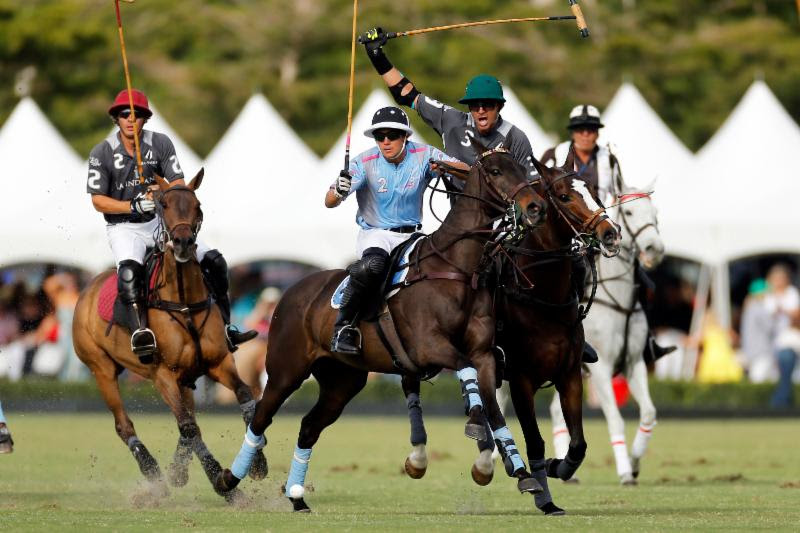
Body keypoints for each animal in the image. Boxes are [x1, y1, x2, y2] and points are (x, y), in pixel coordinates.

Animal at [72, 170, 266, 501]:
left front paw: (257, 463)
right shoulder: (163, 374)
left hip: (185, 377)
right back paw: (155, 474)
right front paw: (222, 481)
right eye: (163, 204)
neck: (184, 302)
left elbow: (243, 396)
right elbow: (188, 427)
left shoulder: (217, 363)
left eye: (197, 205)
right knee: (125, 425)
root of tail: (86, 290)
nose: (183, 242)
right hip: (101, 369)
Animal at [214, 140, 549, 512]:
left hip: (342, 380)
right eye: (495, 171)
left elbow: (495, 409)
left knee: (309, 426)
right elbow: (466, 373)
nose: (536, 208)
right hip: (287, 369)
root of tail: (290, 291)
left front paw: (518, 473)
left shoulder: (484, 354)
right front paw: (476, 429)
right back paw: (228, 480)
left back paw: (297, 496)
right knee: (261, 417)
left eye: (521, 167)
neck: (457, 269)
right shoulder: (429, 346)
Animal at [399, 152, 621, 515]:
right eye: (564, 196)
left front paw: (559, 467)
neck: (544, 296)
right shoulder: (522, 380)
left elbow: (578, 443)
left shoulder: (569, 374)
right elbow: (535, 441)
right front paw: (545, 498)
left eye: (592, 190)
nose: (610, 233)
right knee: (412, 383)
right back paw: (424, 458)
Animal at [549, 174, 664, 485]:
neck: (619, 303)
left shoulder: (634, 363)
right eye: (630, 212)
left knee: (555, 411)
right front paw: (625, 471)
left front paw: (635, 463)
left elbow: (648, 413)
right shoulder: (600, 369)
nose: (655, 249)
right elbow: (615, 419)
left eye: (656, 213)